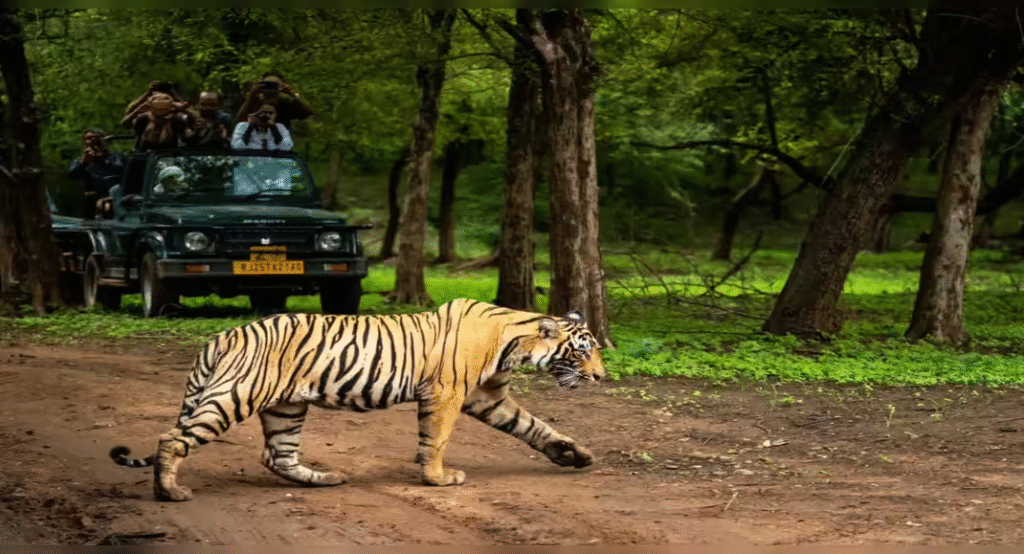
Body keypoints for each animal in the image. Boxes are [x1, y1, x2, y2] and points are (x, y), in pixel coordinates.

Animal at [110, 298, 605, 501]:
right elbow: (437, 439)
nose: (601, 376)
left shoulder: (485, 396)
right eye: (583, 351)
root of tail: (222, 335)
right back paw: (170, 492)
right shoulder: (447, 392)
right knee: (172, 438)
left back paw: (325, 480)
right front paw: (438, 479)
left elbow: (533, 426)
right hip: (235, 396)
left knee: (278, 456)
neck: (513, 341)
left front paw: (573, 454)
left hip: (286, 406)